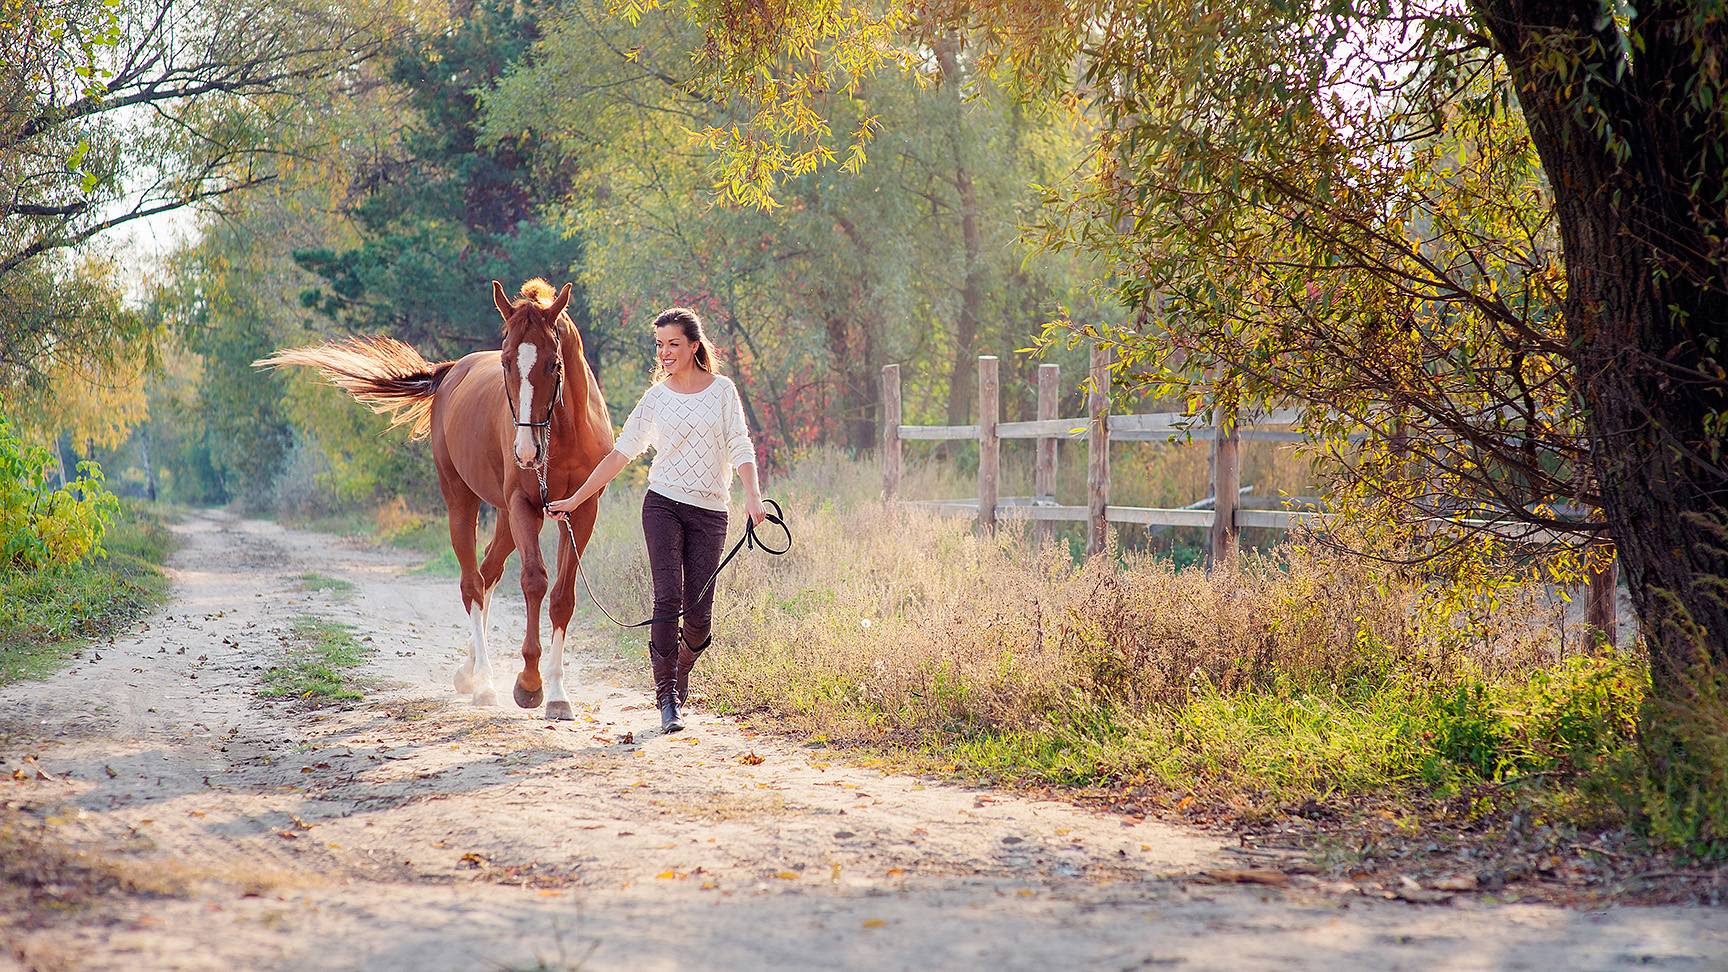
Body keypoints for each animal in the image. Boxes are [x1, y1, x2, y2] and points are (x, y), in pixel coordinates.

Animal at [256, 279, 613, 721]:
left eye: (552, 363)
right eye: (507, 362)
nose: (527, 452)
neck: (564, 432)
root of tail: (450, 372)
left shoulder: (581, 512)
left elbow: (563, 598)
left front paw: (559, 694)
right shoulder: (523, 507)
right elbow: (534, 581)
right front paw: (529, 684)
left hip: (505, 517)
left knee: (488, 571)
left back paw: (469, 670)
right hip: (464, 502)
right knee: (472, 583)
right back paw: (484, 683)